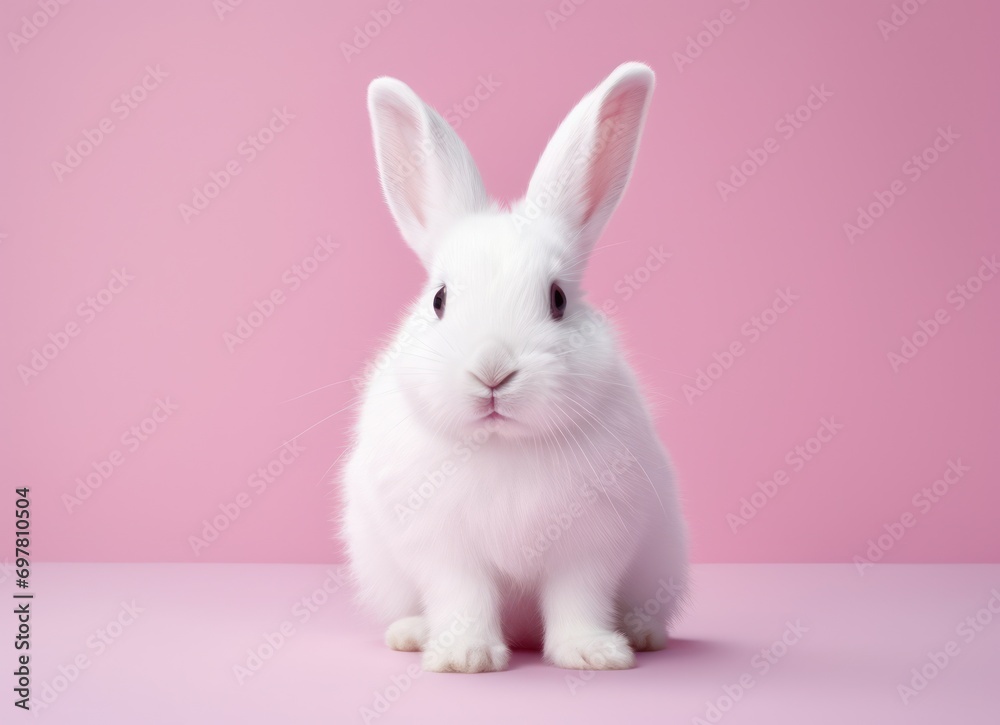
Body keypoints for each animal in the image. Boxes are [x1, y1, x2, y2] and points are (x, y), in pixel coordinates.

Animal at [340, 62, 689, 673]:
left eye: (558, 299)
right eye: (439, 299)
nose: (493, 371)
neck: (503, 446)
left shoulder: (590, 546)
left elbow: (579, 599)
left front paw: (594, 654)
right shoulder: (444, 551)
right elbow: (463, 598)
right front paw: (464, 657)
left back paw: (641, 633)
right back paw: (411, 634)